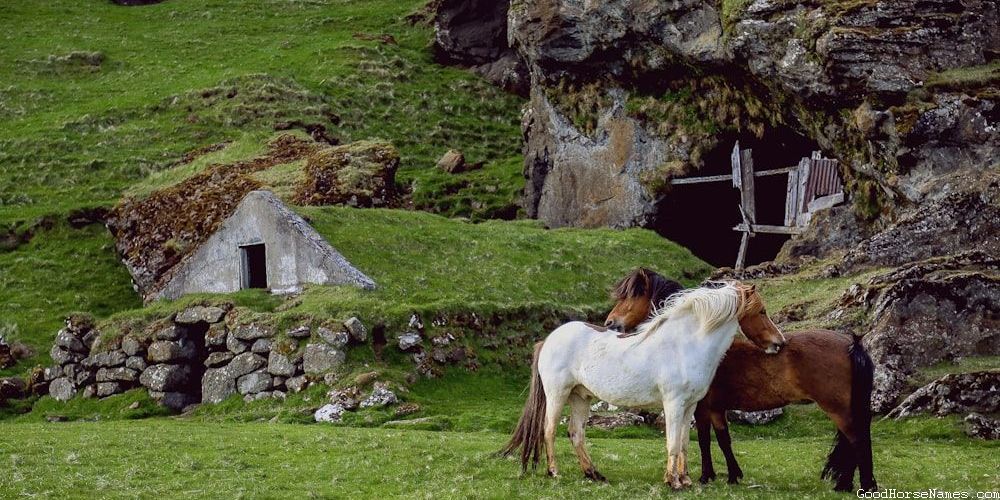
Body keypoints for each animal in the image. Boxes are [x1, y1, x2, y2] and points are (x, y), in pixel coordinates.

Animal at [500, 281, 786, 489]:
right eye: (761, 311)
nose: (780, 343)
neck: (685, 346)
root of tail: (548, 340)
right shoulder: (673, 404)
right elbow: (672, 443)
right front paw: (673, 482)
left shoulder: (690, 407)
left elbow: (684, 442)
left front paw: (685, 479)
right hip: (557, 395)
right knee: (549, 430)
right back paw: (554, 472)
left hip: (581, 397)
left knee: (575, 433)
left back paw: (594, 474)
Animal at [605, 268, 878, 492]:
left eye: (629, 297)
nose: (610, 323)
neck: (694, 341)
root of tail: (851, 343)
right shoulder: (715, 409)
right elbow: (723, 439)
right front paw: (732, 475)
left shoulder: (702, 408)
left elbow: (704, 440)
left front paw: (706, 476)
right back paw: (845, 485)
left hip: (838, 409)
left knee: (858, 441)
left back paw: (865, 486)